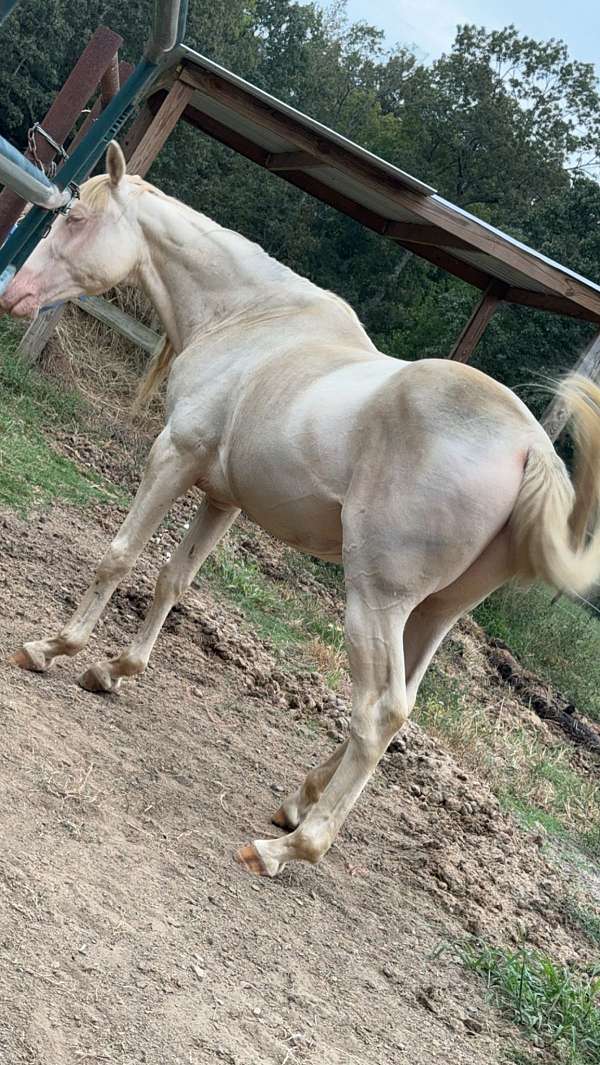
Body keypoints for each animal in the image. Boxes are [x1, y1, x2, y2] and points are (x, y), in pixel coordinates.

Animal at [1, 139, 600, 873]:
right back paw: (296, 801)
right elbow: (173, 581)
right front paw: (113, 671)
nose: (14, 295)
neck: (251, 320)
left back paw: (287, 846)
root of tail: (528, 446)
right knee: (401, 708)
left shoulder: (172, 457)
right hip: (433, 614)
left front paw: (51, 648)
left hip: (375, 598)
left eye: (77, 220)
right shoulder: (222, 496)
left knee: (380, 711)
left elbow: (118, 556)